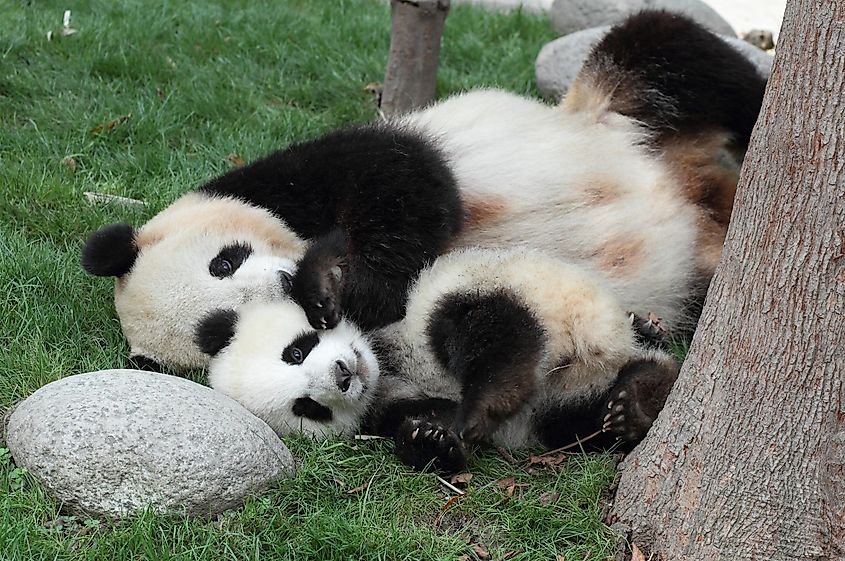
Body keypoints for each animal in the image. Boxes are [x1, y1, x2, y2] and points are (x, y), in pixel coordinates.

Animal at [79, 10, 764, 370]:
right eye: (223, 330)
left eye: (225, 260)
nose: (285, 282)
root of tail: (698, 193)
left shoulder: (297, 173)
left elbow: (405, 180)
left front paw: (338, 279)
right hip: (694, 273)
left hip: (615, 108)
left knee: (670, 51)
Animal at [195, 249, 676, 472]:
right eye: (308, 407)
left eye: (296, 351)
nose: (343, 375)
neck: (383, 362)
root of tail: (595, 344)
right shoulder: (385, 405)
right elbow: (416, 420)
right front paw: (430, 440)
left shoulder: (391, 298)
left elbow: (363, 279)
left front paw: (320, 295)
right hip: (563, 397)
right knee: (573, 417)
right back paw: (635, 402)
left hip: (523, 289)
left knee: (474, 328)